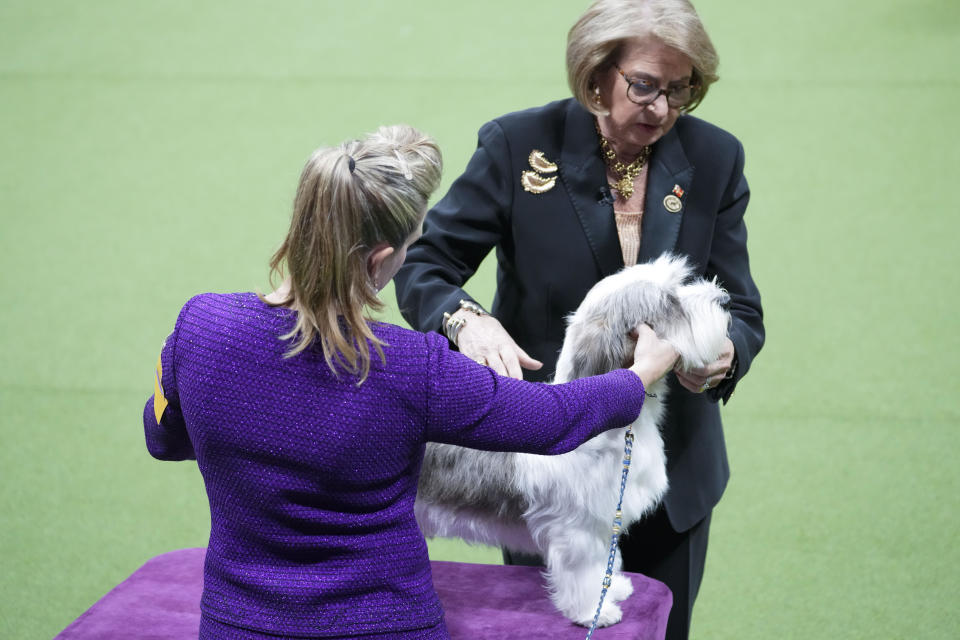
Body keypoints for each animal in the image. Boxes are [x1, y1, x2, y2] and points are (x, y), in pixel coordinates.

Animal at [416, 254, 732, 624]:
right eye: (669, 303)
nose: (725, 299)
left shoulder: (605, 521)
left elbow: (606, 563)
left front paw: (613, 588)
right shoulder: (578, 530)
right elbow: (583, 572)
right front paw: (594, 611)